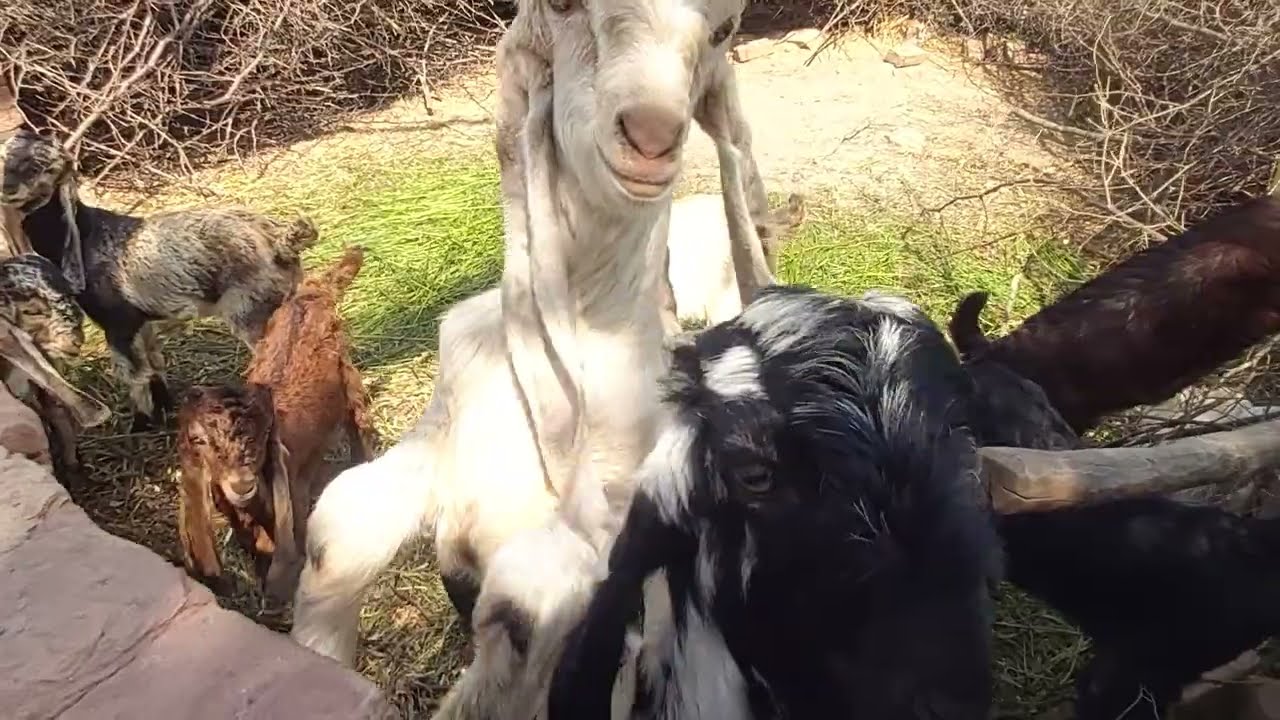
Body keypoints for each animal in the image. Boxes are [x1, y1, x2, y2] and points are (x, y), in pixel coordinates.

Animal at [2, 129, 318, 431]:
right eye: (4, 156)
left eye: (42, 167)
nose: (7, 188)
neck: (87, 237)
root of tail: (281, 243)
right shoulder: (141, 321)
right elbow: (153, 361)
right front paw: (164, 406)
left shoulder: (119, 323)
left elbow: (133, 374)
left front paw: (141, 422)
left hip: (250, 312)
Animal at [177, 246, 375, 603]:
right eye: (199, 440)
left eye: (262, 436)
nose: (242, 483)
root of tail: (311, 292)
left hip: (348, 375)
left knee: (359, 423)